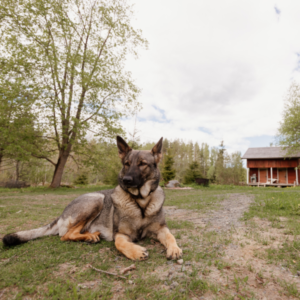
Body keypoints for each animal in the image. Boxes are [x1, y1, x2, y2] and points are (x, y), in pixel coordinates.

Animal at [2, 136, 182, 260]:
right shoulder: (120, 234)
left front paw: (174, 249)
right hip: (96, 200)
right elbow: (119, 243)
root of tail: (61, 215)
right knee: (65, 235)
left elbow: (171, 236)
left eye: (142, 164)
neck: (141, 202)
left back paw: (92, 234)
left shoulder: (161, 229)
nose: (125, 180)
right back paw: (89, 236)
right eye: (126, 164)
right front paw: (135, 251)